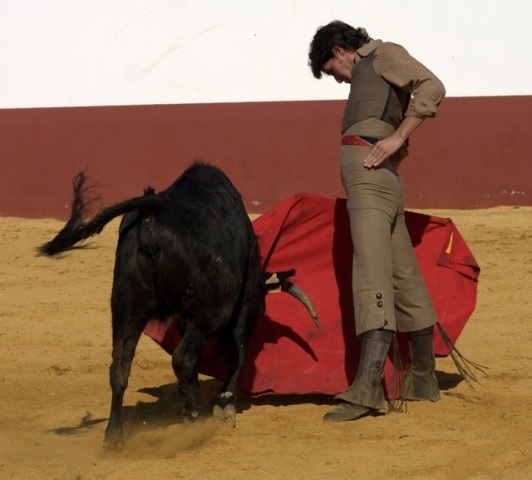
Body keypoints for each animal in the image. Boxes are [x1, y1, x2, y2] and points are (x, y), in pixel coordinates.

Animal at [39, 163, 320, 448]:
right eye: (261, 311)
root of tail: (153, 209)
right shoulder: (237, 308)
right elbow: (236, 352)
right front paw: (224, 404)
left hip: (126, 307)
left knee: (120, 366)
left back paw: (115, 436)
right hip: (211, 312)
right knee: (183, 357)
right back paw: (196, 414)